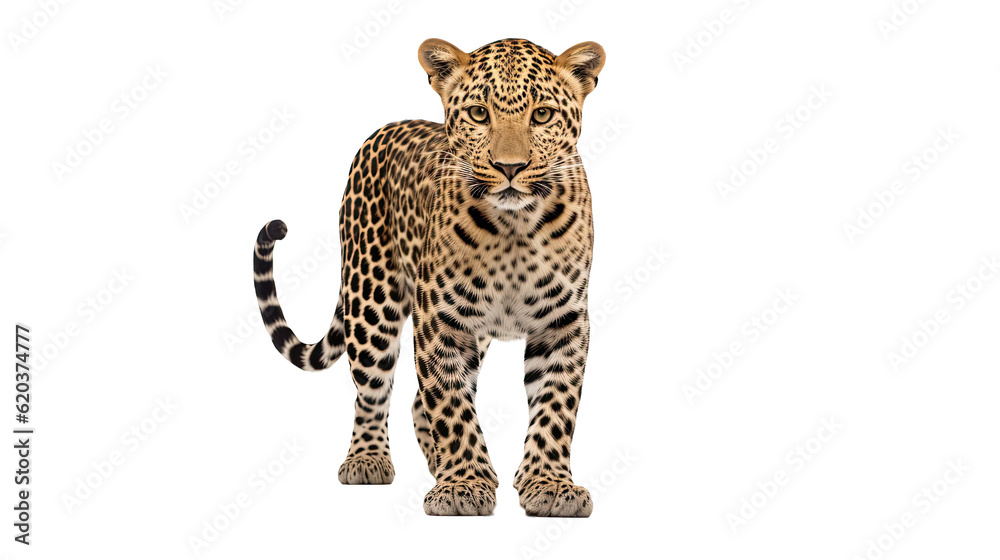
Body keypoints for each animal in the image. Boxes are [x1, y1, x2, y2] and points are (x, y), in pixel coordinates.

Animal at [252, 38, 605, 517]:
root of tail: (386, 128)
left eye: (543, 114)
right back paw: (368, 460)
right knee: (372, 390)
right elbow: (451, 404)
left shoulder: (563, 322)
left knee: (420, 402)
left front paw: (549, 484)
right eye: (479, 113)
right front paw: (464, 485)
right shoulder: (440, 318)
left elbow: (555, 407)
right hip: (371, 296)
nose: (510, 167)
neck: (515, 227)